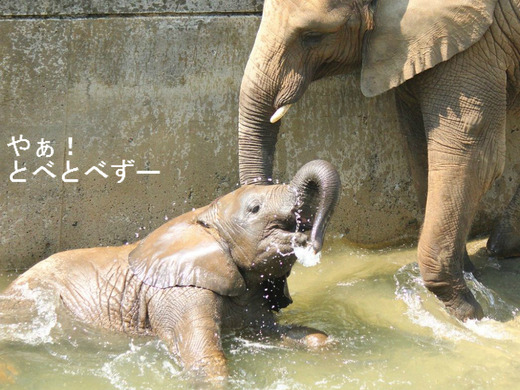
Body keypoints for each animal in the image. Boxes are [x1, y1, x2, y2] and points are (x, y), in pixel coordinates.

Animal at [2, 160, 342, 382]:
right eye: (255, 208)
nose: (310, 241)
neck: (203, 217)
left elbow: (287, 333)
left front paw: (327, 347)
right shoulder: (177, 294)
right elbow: (205, 359)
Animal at [239, 0, 520, 322]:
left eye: (313, 36)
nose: (310, 244)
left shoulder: (476, 45)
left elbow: (473, 157)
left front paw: (469, 313)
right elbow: (419, 148)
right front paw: (470, 278)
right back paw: (504, 246)